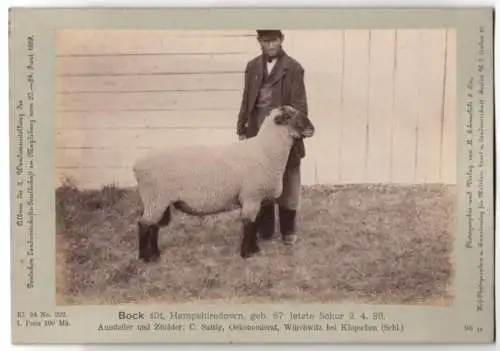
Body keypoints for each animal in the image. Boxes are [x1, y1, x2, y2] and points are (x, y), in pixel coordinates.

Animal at [132, 106, 312, 262]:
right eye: (288, 116)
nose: (312, 128)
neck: (265, 150)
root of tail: (137, 165)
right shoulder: (251, 196)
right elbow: (249, 224)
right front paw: (246, 254)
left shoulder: (257, 199)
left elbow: (254, 224)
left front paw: (254, 249)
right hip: (155, 199)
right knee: (143, 224)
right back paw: (144, 258)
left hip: (158, 201)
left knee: (153, 226)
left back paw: (156, 254)